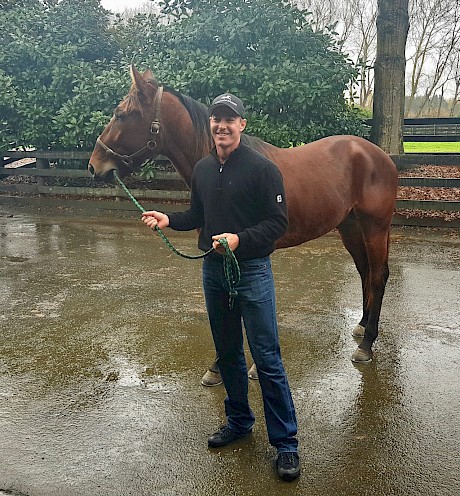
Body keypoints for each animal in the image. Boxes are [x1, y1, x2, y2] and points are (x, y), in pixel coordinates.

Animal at [89, 65, 398, 364]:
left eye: (121, 114)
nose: (94, 166)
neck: (224, 168)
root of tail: (381, 156)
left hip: (374, 226)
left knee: (378, 275)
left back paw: (367, 344)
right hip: (350, 226)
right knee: (365, 271)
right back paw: (361, 325)